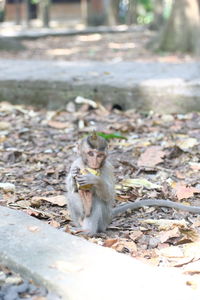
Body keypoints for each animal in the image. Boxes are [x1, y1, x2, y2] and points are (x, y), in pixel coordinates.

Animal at [66, 133, 200, 234]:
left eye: (99, 155)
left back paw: (89, 231)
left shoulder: (107, 168)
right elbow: (72, 188)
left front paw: (93, 179)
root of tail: (110, 215)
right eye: (90, 154)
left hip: (104, 220)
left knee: (97, 201)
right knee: (72, 197)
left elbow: (108, 195)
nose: (94, 163)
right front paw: (74, 176)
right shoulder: (75, 163)